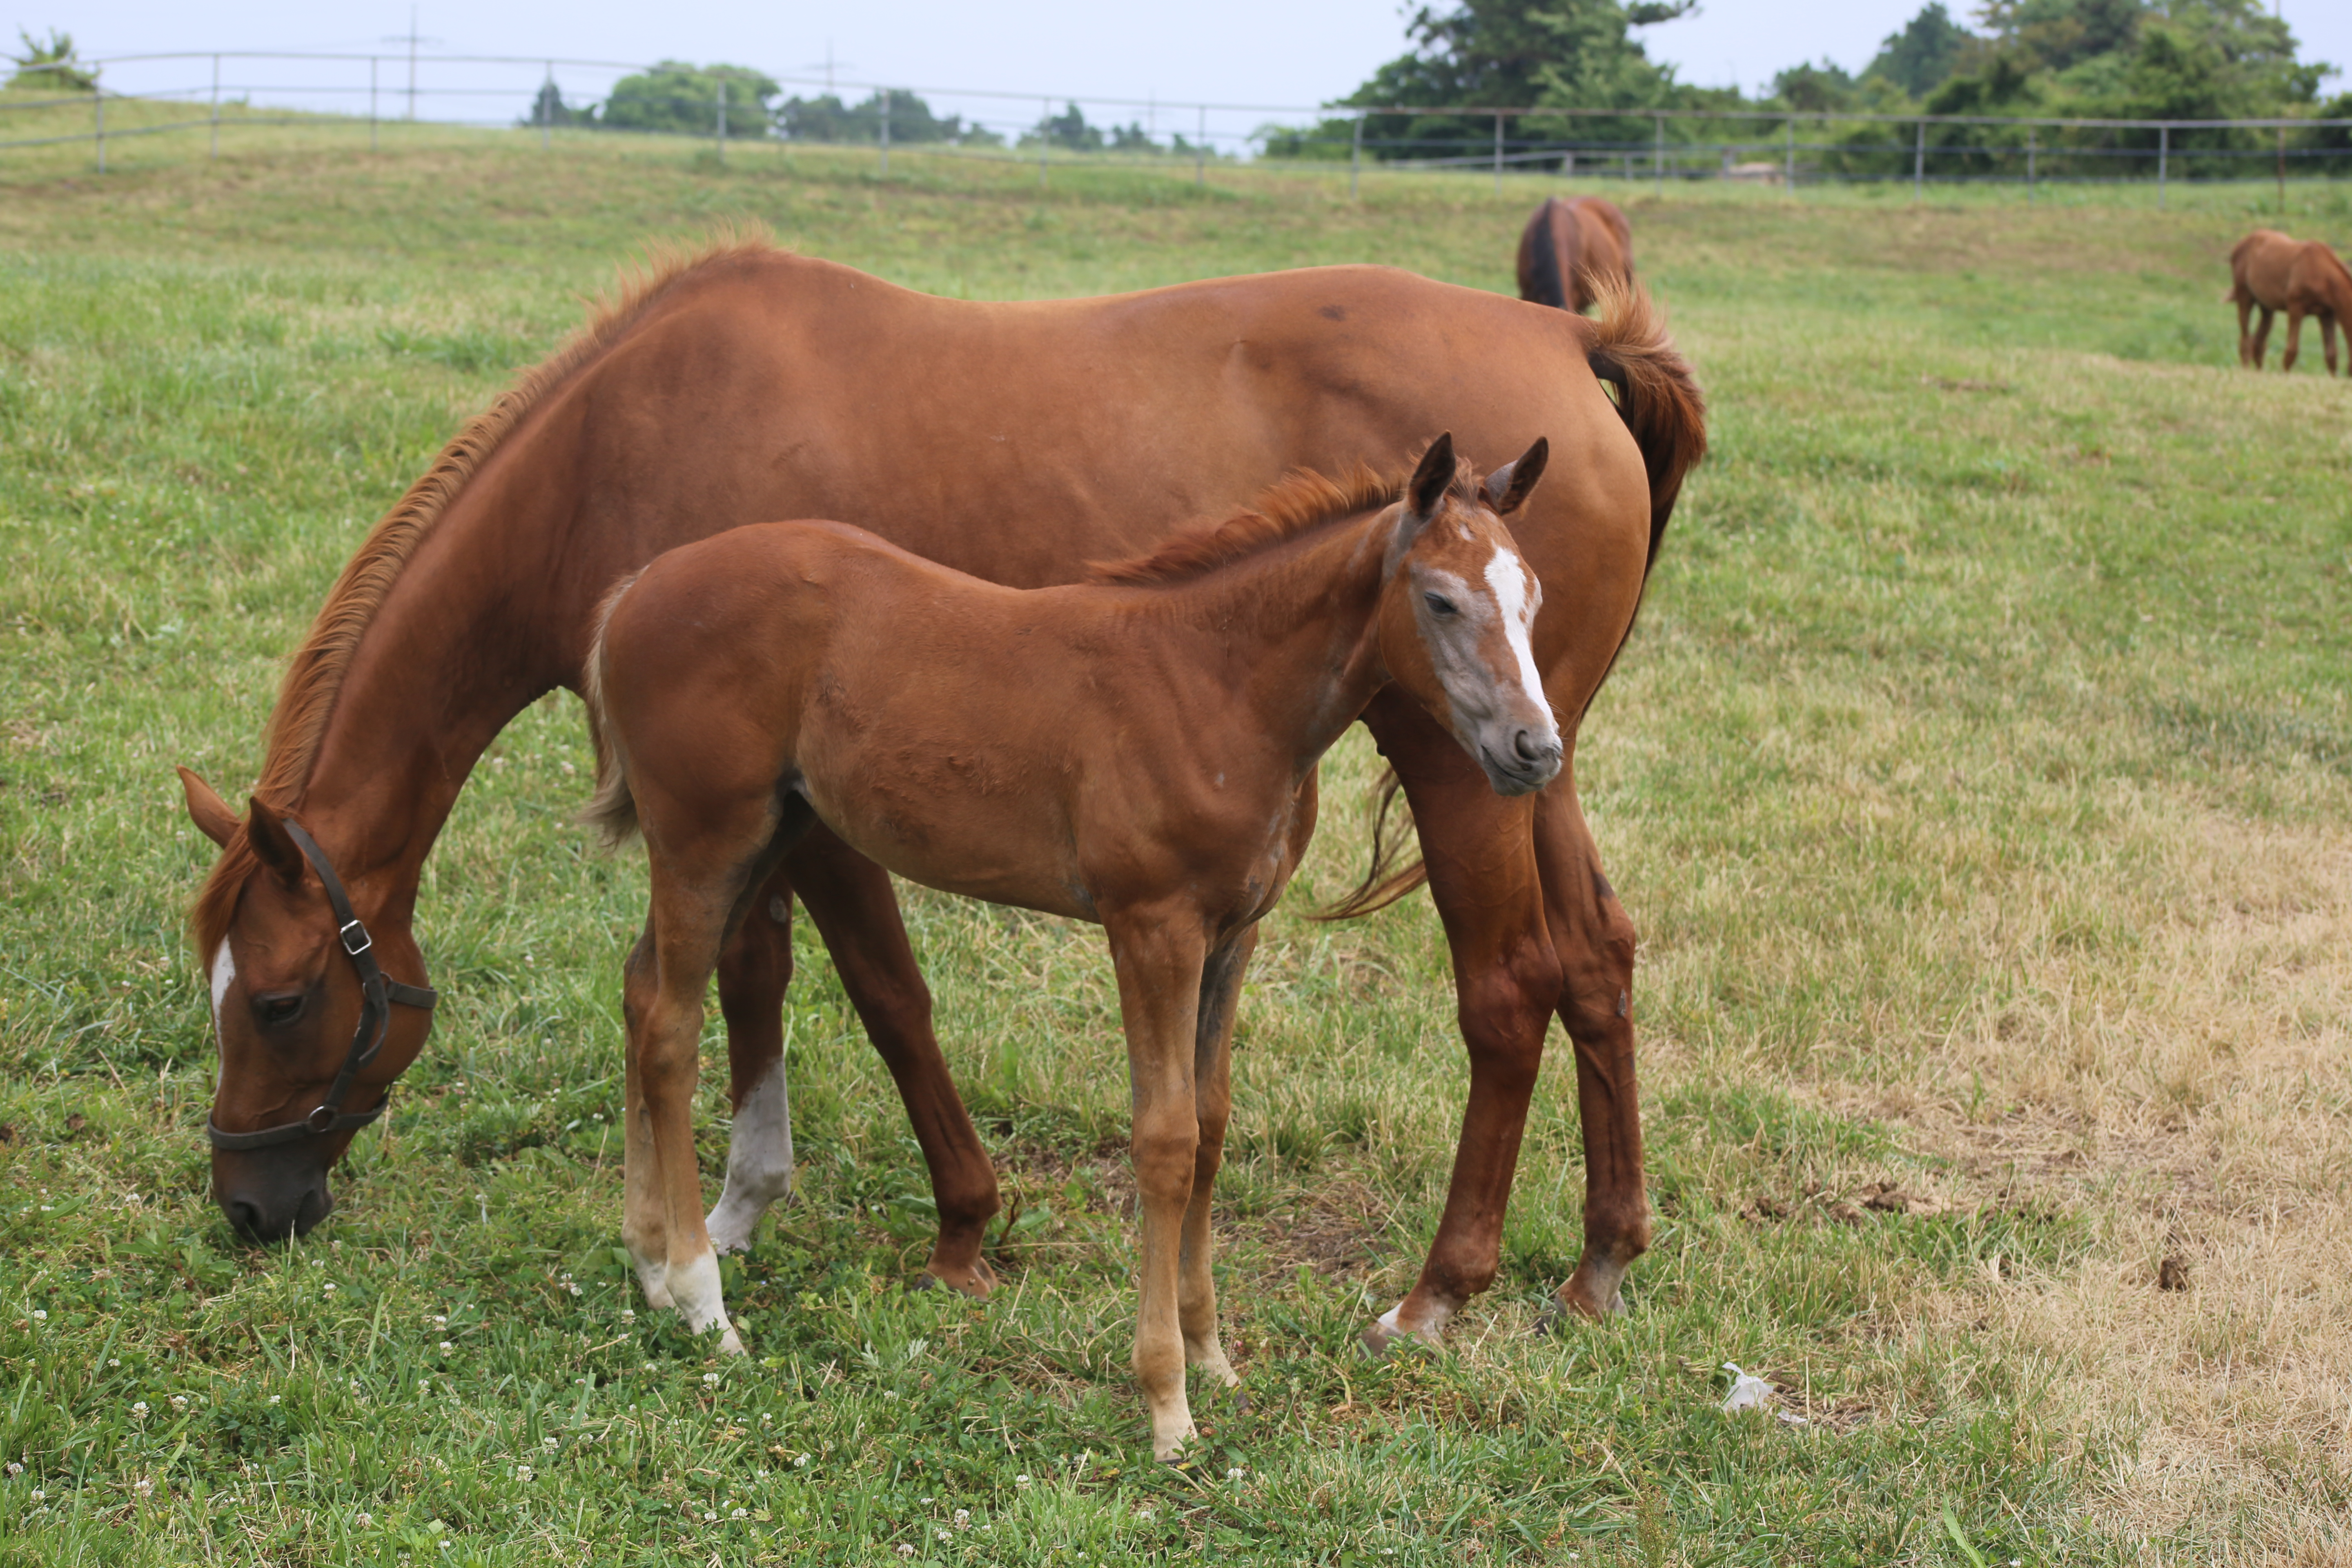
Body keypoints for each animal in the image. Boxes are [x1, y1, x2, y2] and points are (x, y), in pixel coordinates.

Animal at [174, 240, 1703, 1354]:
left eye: (282, 1001)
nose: (248, 1204)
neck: (623, 448)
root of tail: (1569, 341)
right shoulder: (757, 812)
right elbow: (761, 979)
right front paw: (734, 1213)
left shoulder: (803, 814)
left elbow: (873, 990)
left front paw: (944, 1224)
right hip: (1533, 756)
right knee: (1596, 959)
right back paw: (1603, 1260)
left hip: (1462, 768)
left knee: (1507, 990)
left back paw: (1441, 1289)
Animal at [583, 432, 1561, 1457]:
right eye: (1440, 599)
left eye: (1532, 597)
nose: (1535, 749)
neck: (1217, 686)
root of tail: (637, 589)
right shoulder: (1152, 927)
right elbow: (1165, 1141)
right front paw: (1167, 1401)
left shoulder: (1232, 935)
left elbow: (1212, 1126)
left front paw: (1211, 1355)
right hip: (704, 843)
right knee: (669, 1028)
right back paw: (703, 1303)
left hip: (766, 834)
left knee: (640, 992)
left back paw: (648, 1268)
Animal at [2220, 228, 2352, 376]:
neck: (2320, 273)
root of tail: (2243, 242)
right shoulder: (2296, 309)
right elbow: (2291, 351)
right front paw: (2285, 376)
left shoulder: (2327, 315)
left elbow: (2331, 355)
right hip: (2245, 297)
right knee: (2246, 340)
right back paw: (2246, 371)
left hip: (2267, 307)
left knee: (2259, 343)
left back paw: (2259, 373)